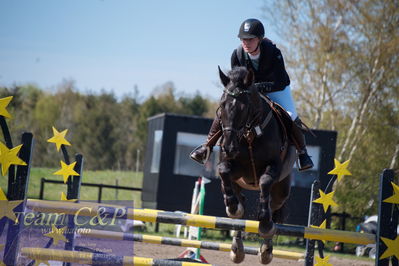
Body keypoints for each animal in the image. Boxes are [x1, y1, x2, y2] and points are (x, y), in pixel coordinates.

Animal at [217, 66, 298, 264]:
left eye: (243, 108)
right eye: (222, 105)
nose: (228, 147)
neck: (249, 134)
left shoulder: (273, 167)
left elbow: (264, 182)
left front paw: (265, 223)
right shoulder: (235, 170)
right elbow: (223, 170)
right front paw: (232, 206)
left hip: (281, 190)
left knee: (273, 207)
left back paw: (266, 248)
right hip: (238, 184)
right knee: (240, 208)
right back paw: (237, 249)